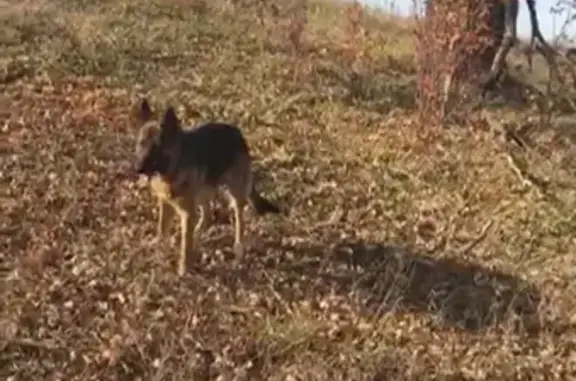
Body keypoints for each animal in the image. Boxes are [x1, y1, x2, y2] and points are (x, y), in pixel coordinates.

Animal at [131, 99, 284, 274]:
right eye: (141, 144)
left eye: (156, 147)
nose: (137, 168)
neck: (172, 169)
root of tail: (237, 133)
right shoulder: (166, 203)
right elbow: (162, 228)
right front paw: (158, 248)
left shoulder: (187, 211)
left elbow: (186, 245)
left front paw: (184, 268)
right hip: (202, 192)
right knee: (208, 215)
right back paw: (198, 233)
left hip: (234, 192)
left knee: (238, 217)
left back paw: (238, 245)